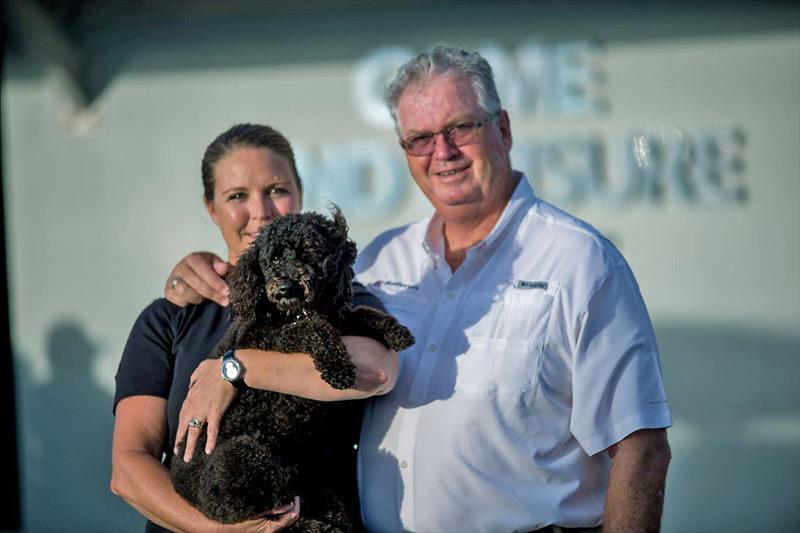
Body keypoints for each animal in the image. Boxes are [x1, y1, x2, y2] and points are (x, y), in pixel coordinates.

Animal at [171, 207, 416, 528]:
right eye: (273, 258)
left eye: (308, 253)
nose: (287, 287)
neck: (292, 312)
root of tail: (182, 489)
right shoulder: (270, 340)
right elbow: (314, 328)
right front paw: (339, 368)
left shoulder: (339, 317)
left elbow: (358, 312)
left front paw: (395, 330)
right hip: (243, 458)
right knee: (258, 502)